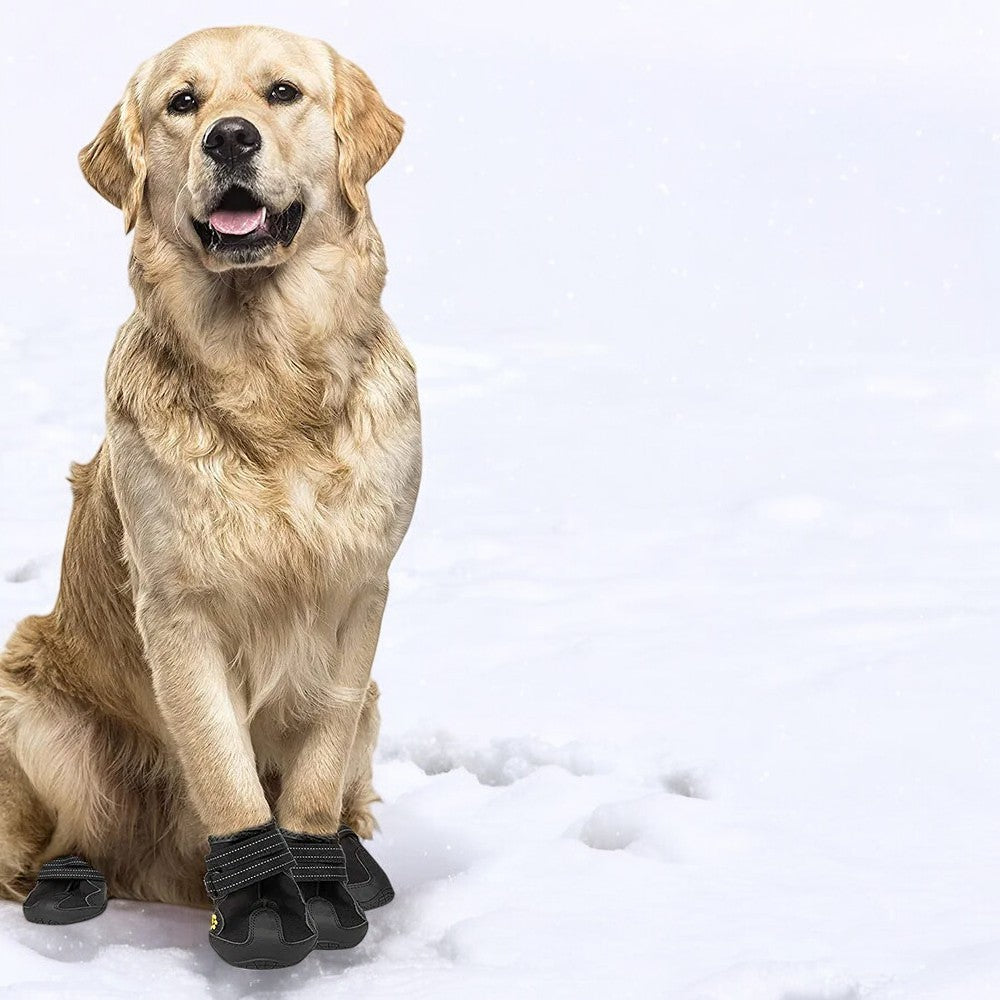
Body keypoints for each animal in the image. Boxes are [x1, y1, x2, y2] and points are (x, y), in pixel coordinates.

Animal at [0, 21, 420, 960]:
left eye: (282, 93)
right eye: (182, 103)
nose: (230, 138)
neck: (269, 375)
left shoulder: (360, 597)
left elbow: (314, 764)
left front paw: (316, 882)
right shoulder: (180, 610)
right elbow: (225, 767)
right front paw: (262, 904)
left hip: (380, 696)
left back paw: (355, 865)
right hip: (33, 707)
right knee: (51, 841)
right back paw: (69, 883)